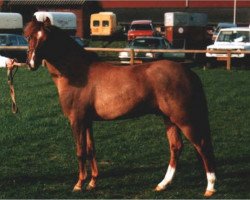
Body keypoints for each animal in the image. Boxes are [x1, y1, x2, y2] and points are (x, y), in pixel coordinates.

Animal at [23, 17, 217, 197]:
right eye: (29, 37)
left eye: (46, 39)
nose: (31, 63)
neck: (77, 73)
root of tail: (189, 73)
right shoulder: (87, 121)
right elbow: (91, 149)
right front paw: (93, 182)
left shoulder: (76, 120)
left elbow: (80, 151)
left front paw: (79, 184)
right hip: (169, 118)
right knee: (176, 147)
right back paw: (163, 184)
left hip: (184, 118)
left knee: (201, 145)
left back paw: (210, 187)